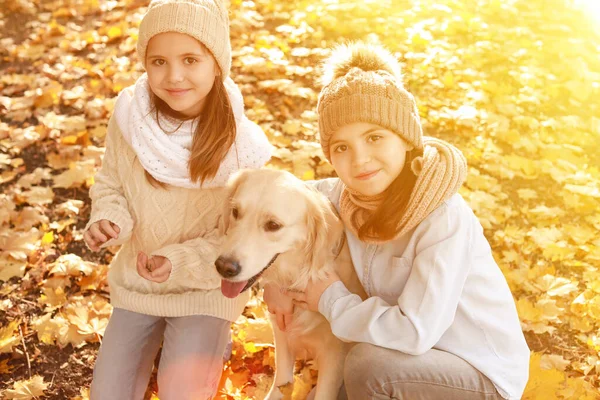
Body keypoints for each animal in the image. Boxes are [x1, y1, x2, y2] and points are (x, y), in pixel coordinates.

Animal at [216, 169, 366, 400]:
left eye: (273, 225)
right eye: (235, 212)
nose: (224, 267)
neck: (297, 279)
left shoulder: (334, 356)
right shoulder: (282, 337)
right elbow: (281, 385)